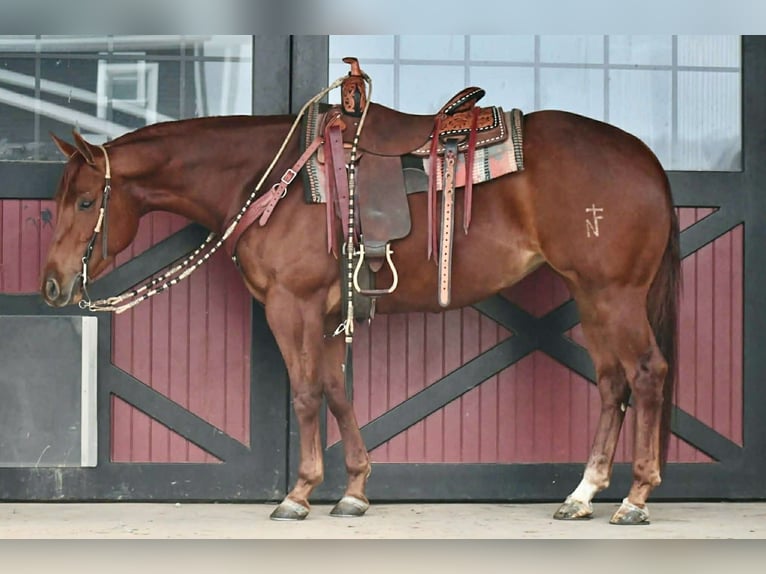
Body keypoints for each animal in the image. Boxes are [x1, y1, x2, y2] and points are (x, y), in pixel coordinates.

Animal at [39, 75, 679, 525]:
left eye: (85, 201)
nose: (51, 285)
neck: (272, 177)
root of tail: (647, 159)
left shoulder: (291, 307)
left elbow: (305, 395)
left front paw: (298, 495)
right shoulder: (324, 315)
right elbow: (337, 393)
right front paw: (353, 490)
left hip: (614, 295)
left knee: (647, 374)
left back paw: (635, 499)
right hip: (591, 296)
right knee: (612, 384)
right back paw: (583, 494)